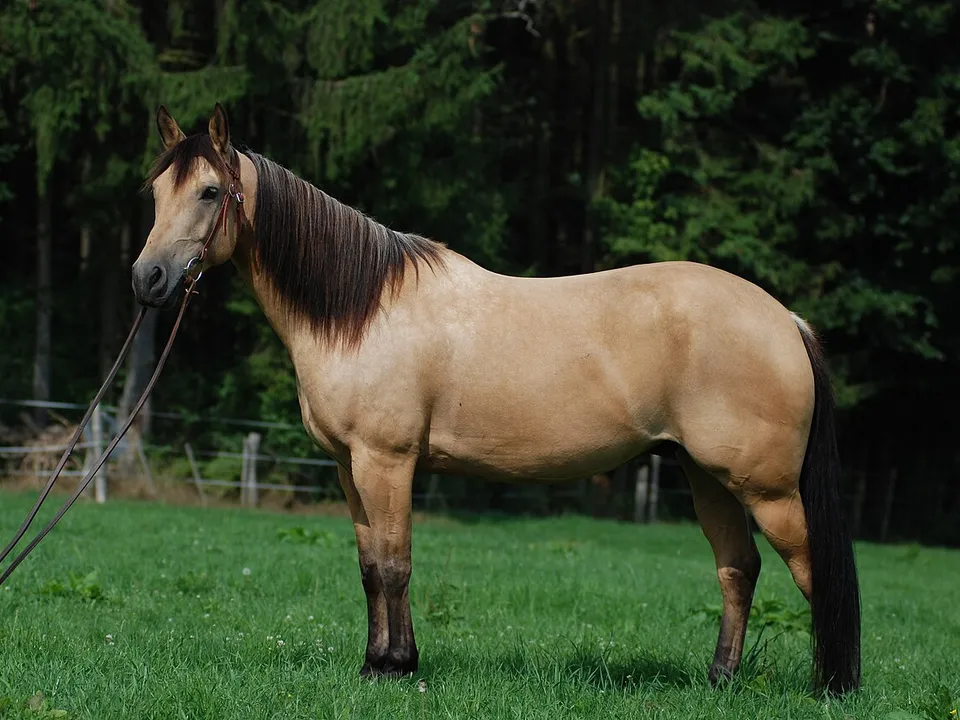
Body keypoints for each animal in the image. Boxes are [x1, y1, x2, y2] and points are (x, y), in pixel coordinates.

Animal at [133, 103, 861, 696]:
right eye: (155, 191)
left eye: (210, 191)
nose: (148, 279)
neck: (364, 311)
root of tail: (785, 320)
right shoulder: (347, 467)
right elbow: (369, 567)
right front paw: (373, 664)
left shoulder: (386, 462)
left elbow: (395, 564)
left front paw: (397, 667)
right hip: (706, 476)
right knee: (738, 569)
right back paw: (720, 680)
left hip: (767, 488)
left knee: (812, 571)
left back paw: (831, 686)